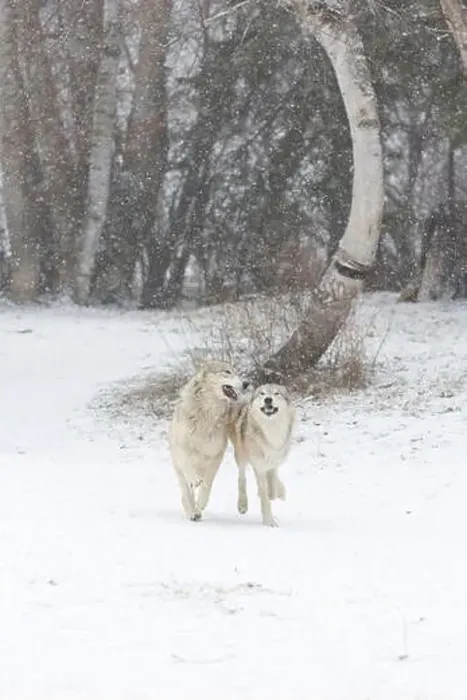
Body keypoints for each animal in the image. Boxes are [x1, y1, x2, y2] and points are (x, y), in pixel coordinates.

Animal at [169, 361, 247, 521]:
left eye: (236, 371)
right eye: (227, 372)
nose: (246, 383)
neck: (207, 413)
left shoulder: (217, 454)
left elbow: (207, 484)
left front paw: (201, 504)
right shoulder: (181, 448)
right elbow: (189, 469)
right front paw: (194, 481)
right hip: (177, 465)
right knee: (185, 490)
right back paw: (191, 510)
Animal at [229, 383, 295, 527]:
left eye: (276, 393)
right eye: (262, 394)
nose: (268, 400)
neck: (272, 430)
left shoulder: (274, 463)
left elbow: (272, 488)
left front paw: (277, 493)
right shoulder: (259, 466)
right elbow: (266, 497)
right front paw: (269, 522)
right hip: (241, 455)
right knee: (241, 477)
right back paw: (242, 505)